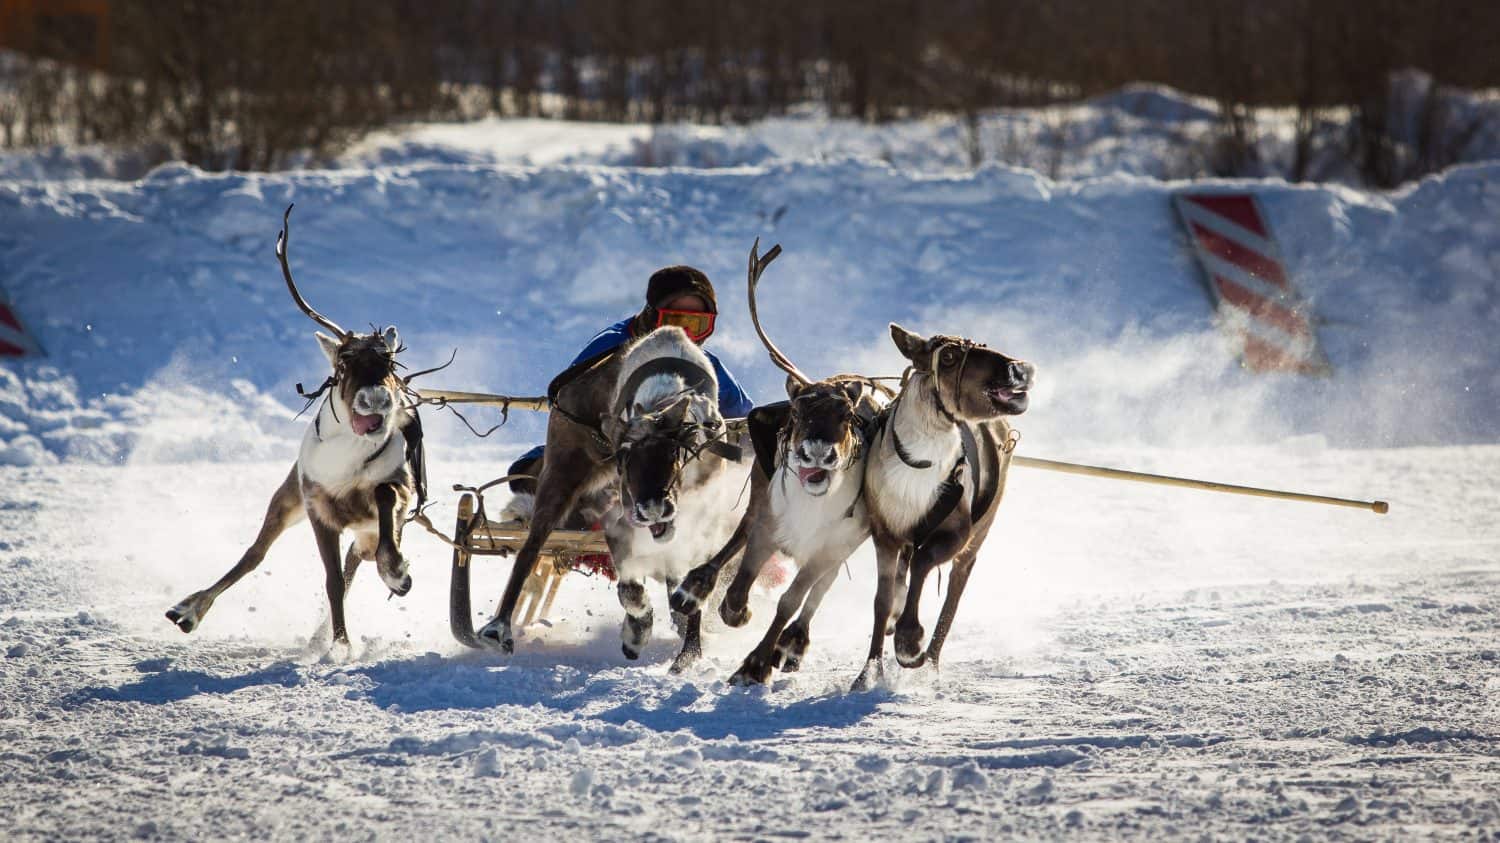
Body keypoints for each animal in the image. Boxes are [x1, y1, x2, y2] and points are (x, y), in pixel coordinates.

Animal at [165, 206, 430, 651]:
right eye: (344, 362)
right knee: (255, 554)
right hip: (286, 497)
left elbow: (383, 505)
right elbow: (331, 582)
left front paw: (397, 572)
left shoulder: (397, 491)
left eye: (391, 362)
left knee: (358, 557)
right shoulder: (317, 506)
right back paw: (188, 611)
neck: (346, 465)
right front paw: (340, 646)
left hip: (361, 527)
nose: (377, 398)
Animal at [669, 241, 890, 685]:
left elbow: (792, 600)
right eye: (800, 409)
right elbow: (740, 583)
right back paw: (693, 589)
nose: (818, 451)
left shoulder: (829, 547)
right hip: (758, 486)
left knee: (817, 594)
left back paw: (791, 646)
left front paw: (756, 663)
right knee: (735, 536)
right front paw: (735, 614)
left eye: (847, 415)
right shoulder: (770, 523)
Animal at [850, 324, 1034, 692]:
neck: (918, 465)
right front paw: (868, 673)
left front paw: (909, 642)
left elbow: (923, 564)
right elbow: (881, 601)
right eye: (947, 357)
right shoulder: (885, 533)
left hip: (978, 536)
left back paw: (930, 664)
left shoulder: (957, 532)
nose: (1019, 368)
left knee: (953, 595)